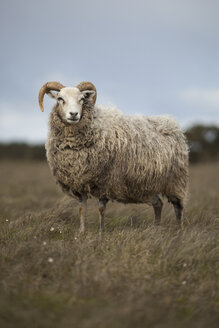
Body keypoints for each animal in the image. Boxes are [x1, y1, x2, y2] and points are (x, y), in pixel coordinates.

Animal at [37, 80, 188, 232]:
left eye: (82, 99)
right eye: (60, 99)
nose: (73, 114)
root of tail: (172, 123)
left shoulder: (105, 181)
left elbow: (101, 209)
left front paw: (101, 233)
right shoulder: (79, 184)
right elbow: (82, 209)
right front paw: (82, 232)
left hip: (175, 181)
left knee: (178, 207)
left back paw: (179, 232)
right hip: (148, 185)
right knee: (158, 204)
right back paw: (156, 229)